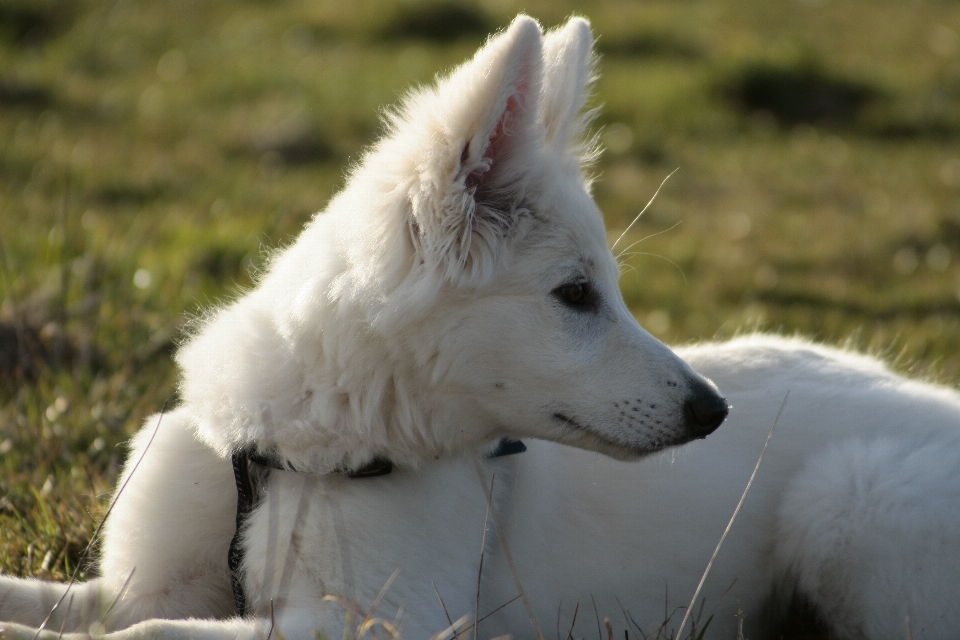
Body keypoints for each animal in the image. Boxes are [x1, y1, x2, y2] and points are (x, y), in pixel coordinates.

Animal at [1, 15, 960, 640]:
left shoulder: (387, 621)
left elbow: (149, 635)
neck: (299, 452)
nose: (713, 412)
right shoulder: (138, 582)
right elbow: (69, 606)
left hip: (844, 505)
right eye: (576, 295)